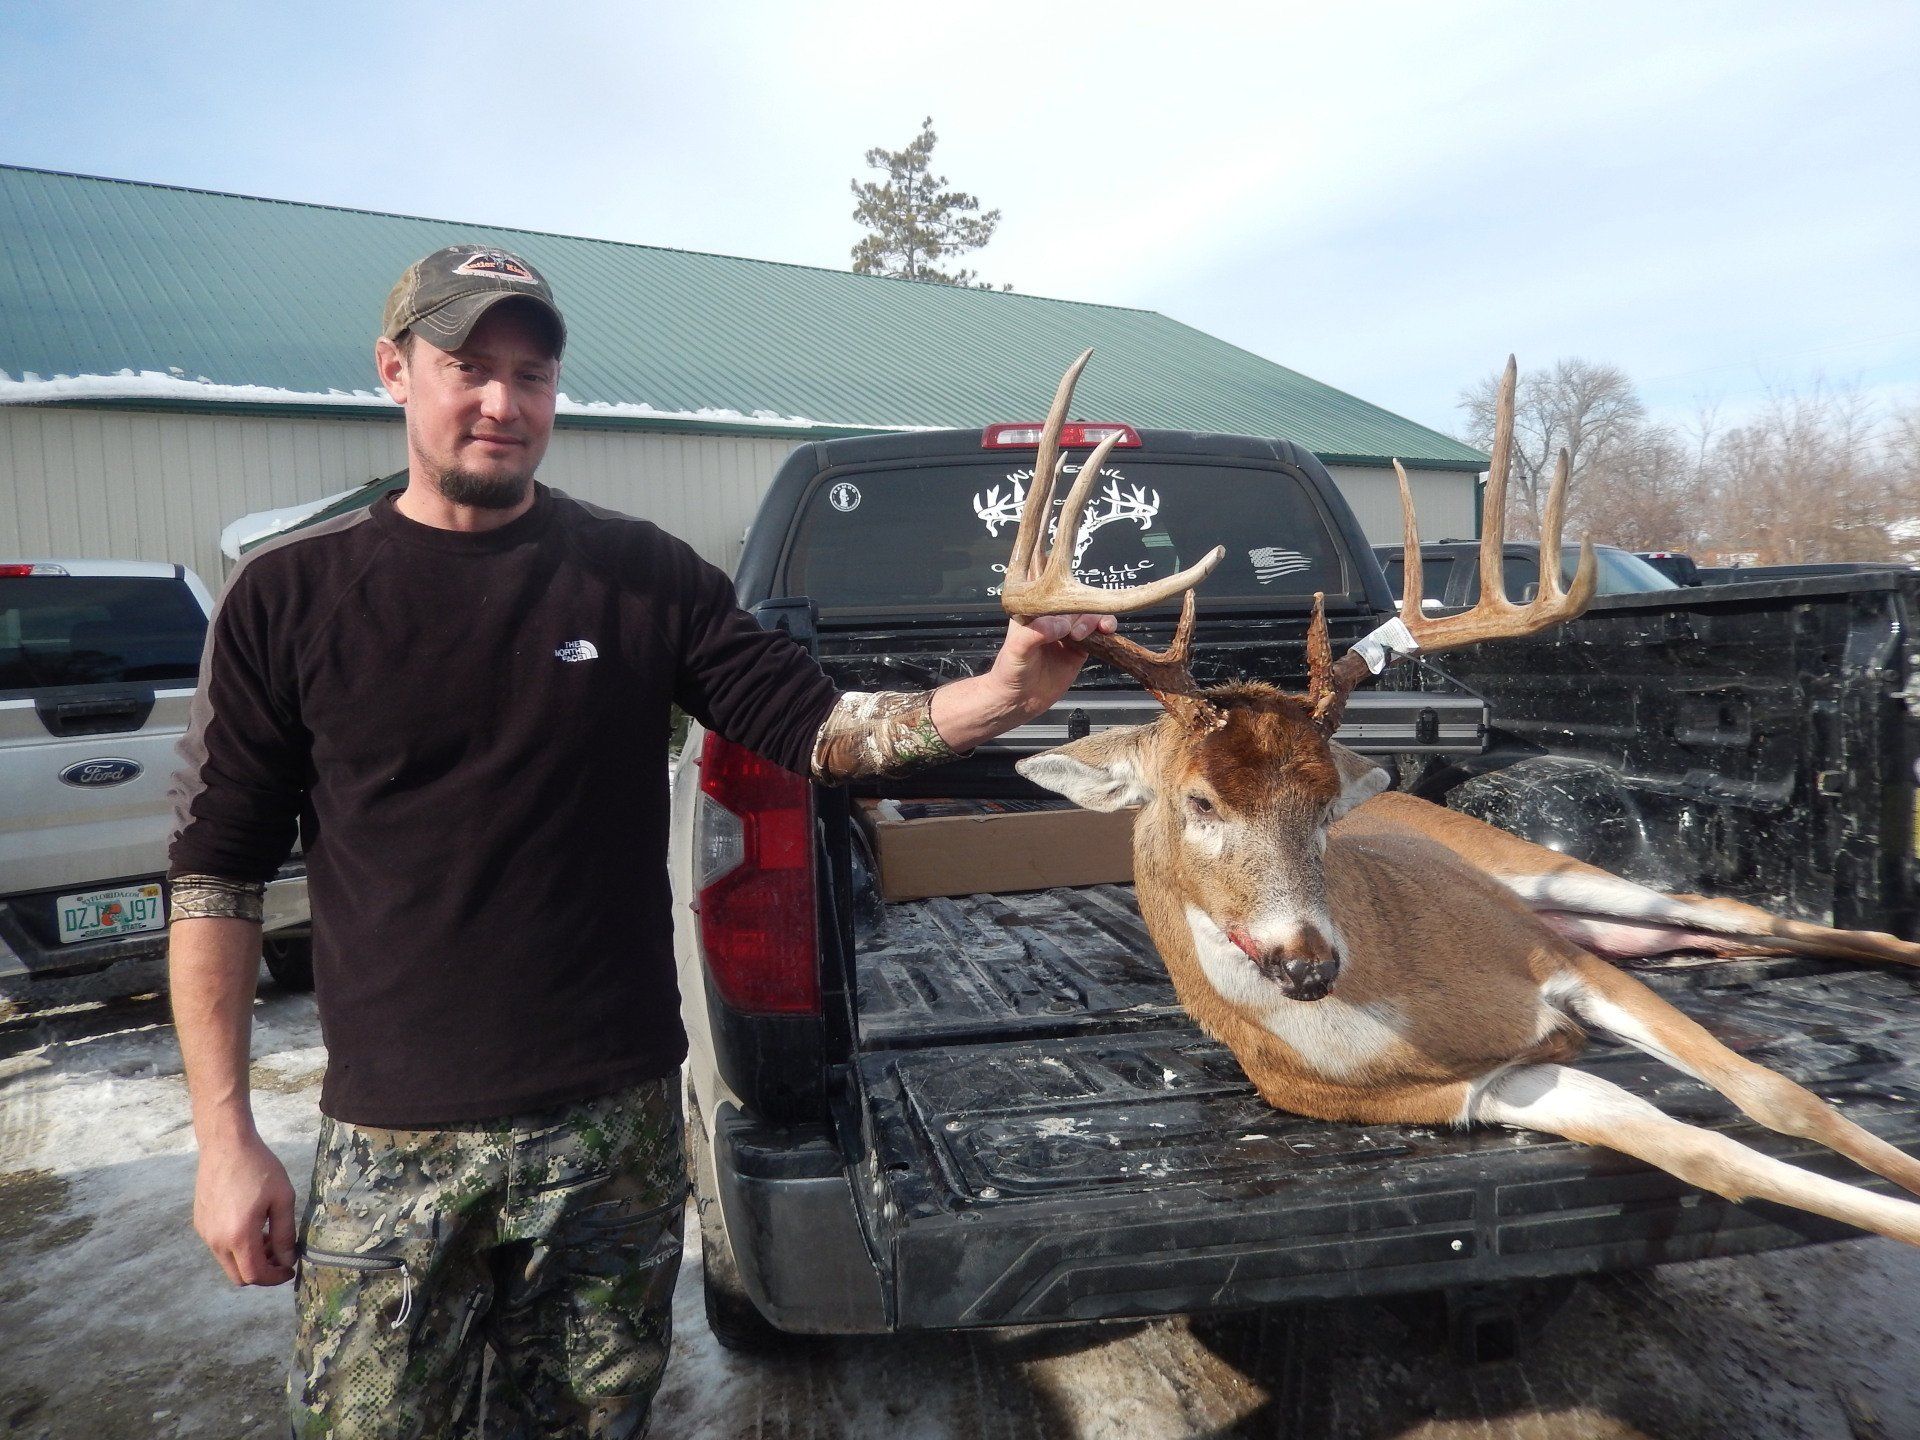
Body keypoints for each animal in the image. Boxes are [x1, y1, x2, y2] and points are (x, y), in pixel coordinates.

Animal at [997, 349, 1920, 1247]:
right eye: (1199, 800)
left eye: (1328, 804)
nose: (1309, 963)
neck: (1392, 1015)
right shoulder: (1487, 1088)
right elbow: (1707, 1154)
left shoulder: (1562, 963)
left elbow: (1778, 1095)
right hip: (1603, 926)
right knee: (1718, 936)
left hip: (1544, 875)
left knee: (1751, 914)